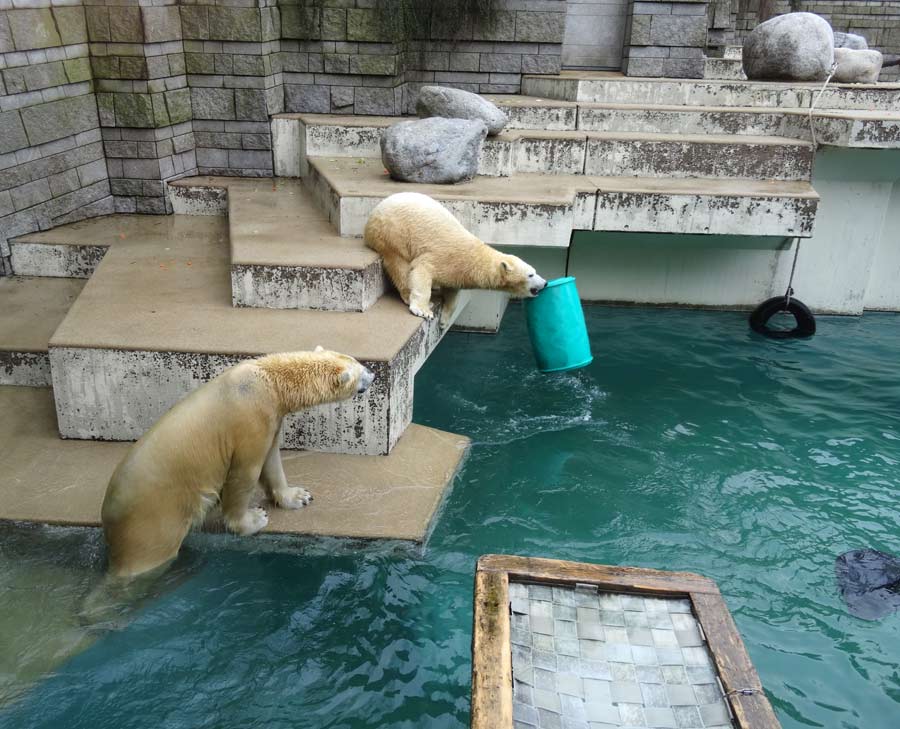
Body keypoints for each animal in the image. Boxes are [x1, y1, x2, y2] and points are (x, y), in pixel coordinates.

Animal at [100, 346, 374, 580]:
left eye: (356, 360)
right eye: (359, 371)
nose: (372, 374)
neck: (268, 381)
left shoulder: (271, 417)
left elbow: (272, 460)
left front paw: (299, 496)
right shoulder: (251, 420)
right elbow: (245, 472)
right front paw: (254, 519)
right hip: (154, 520)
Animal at [362, 191, 544, 318]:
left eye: (535, 271)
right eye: (530, 274)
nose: (544, 283)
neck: (475, 258)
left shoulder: (457, 273)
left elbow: (452, 290)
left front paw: (445, 318)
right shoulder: (446, 257)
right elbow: (422, 269)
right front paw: (423, 310)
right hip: (392, 232)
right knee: (398, 263)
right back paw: (407, 295)